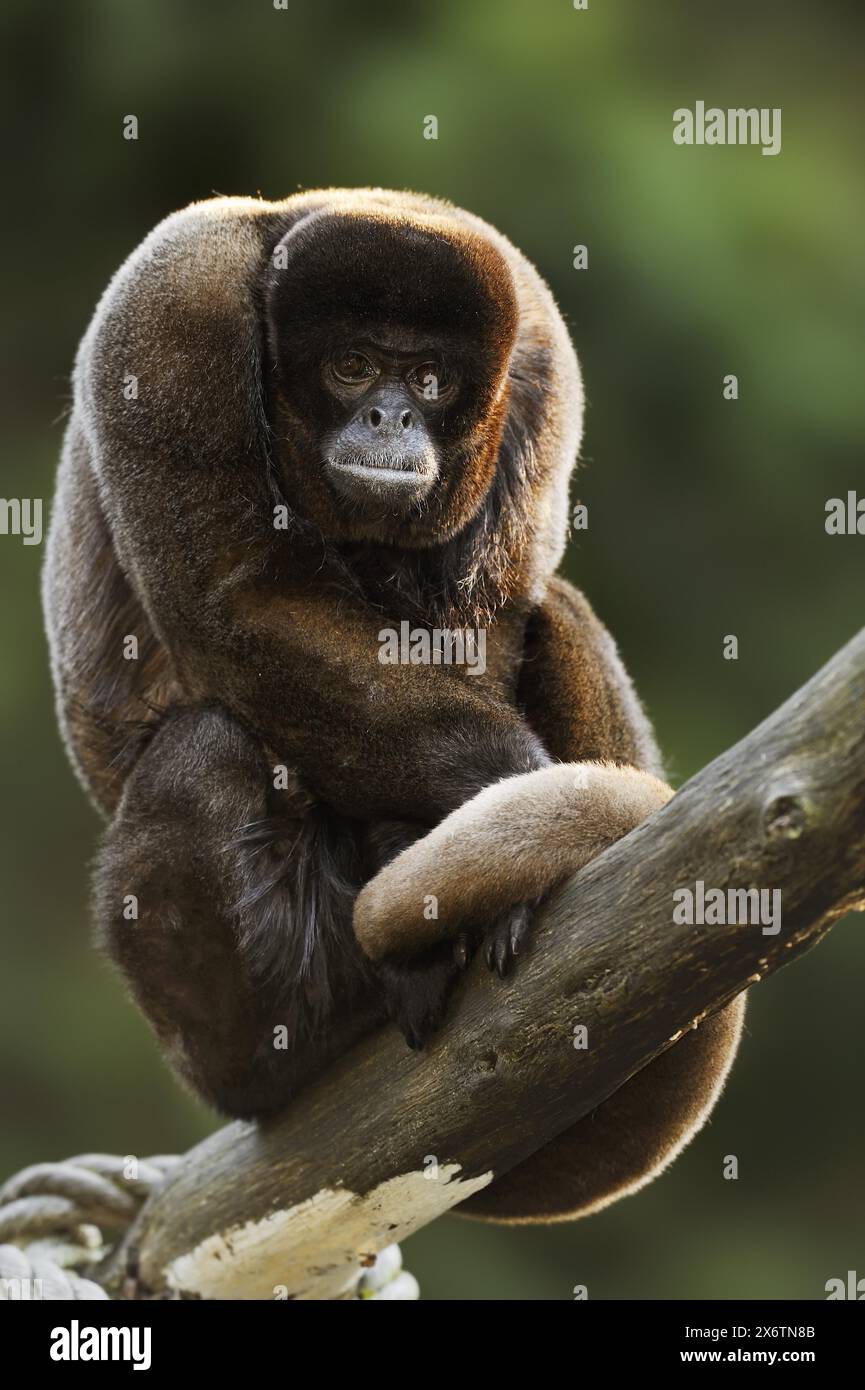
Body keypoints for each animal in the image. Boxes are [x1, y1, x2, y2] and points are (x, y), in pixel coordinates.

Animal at [42, 190, 745, 1223]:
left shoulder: (537, 356)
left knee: (554, 609)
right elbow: (239, 607)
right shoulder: (173, 301)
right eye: (351, 367)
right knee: (205, 751)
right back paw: (283, 1057)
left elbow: (484, 625)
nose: (388, 414)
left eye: (428, 377)